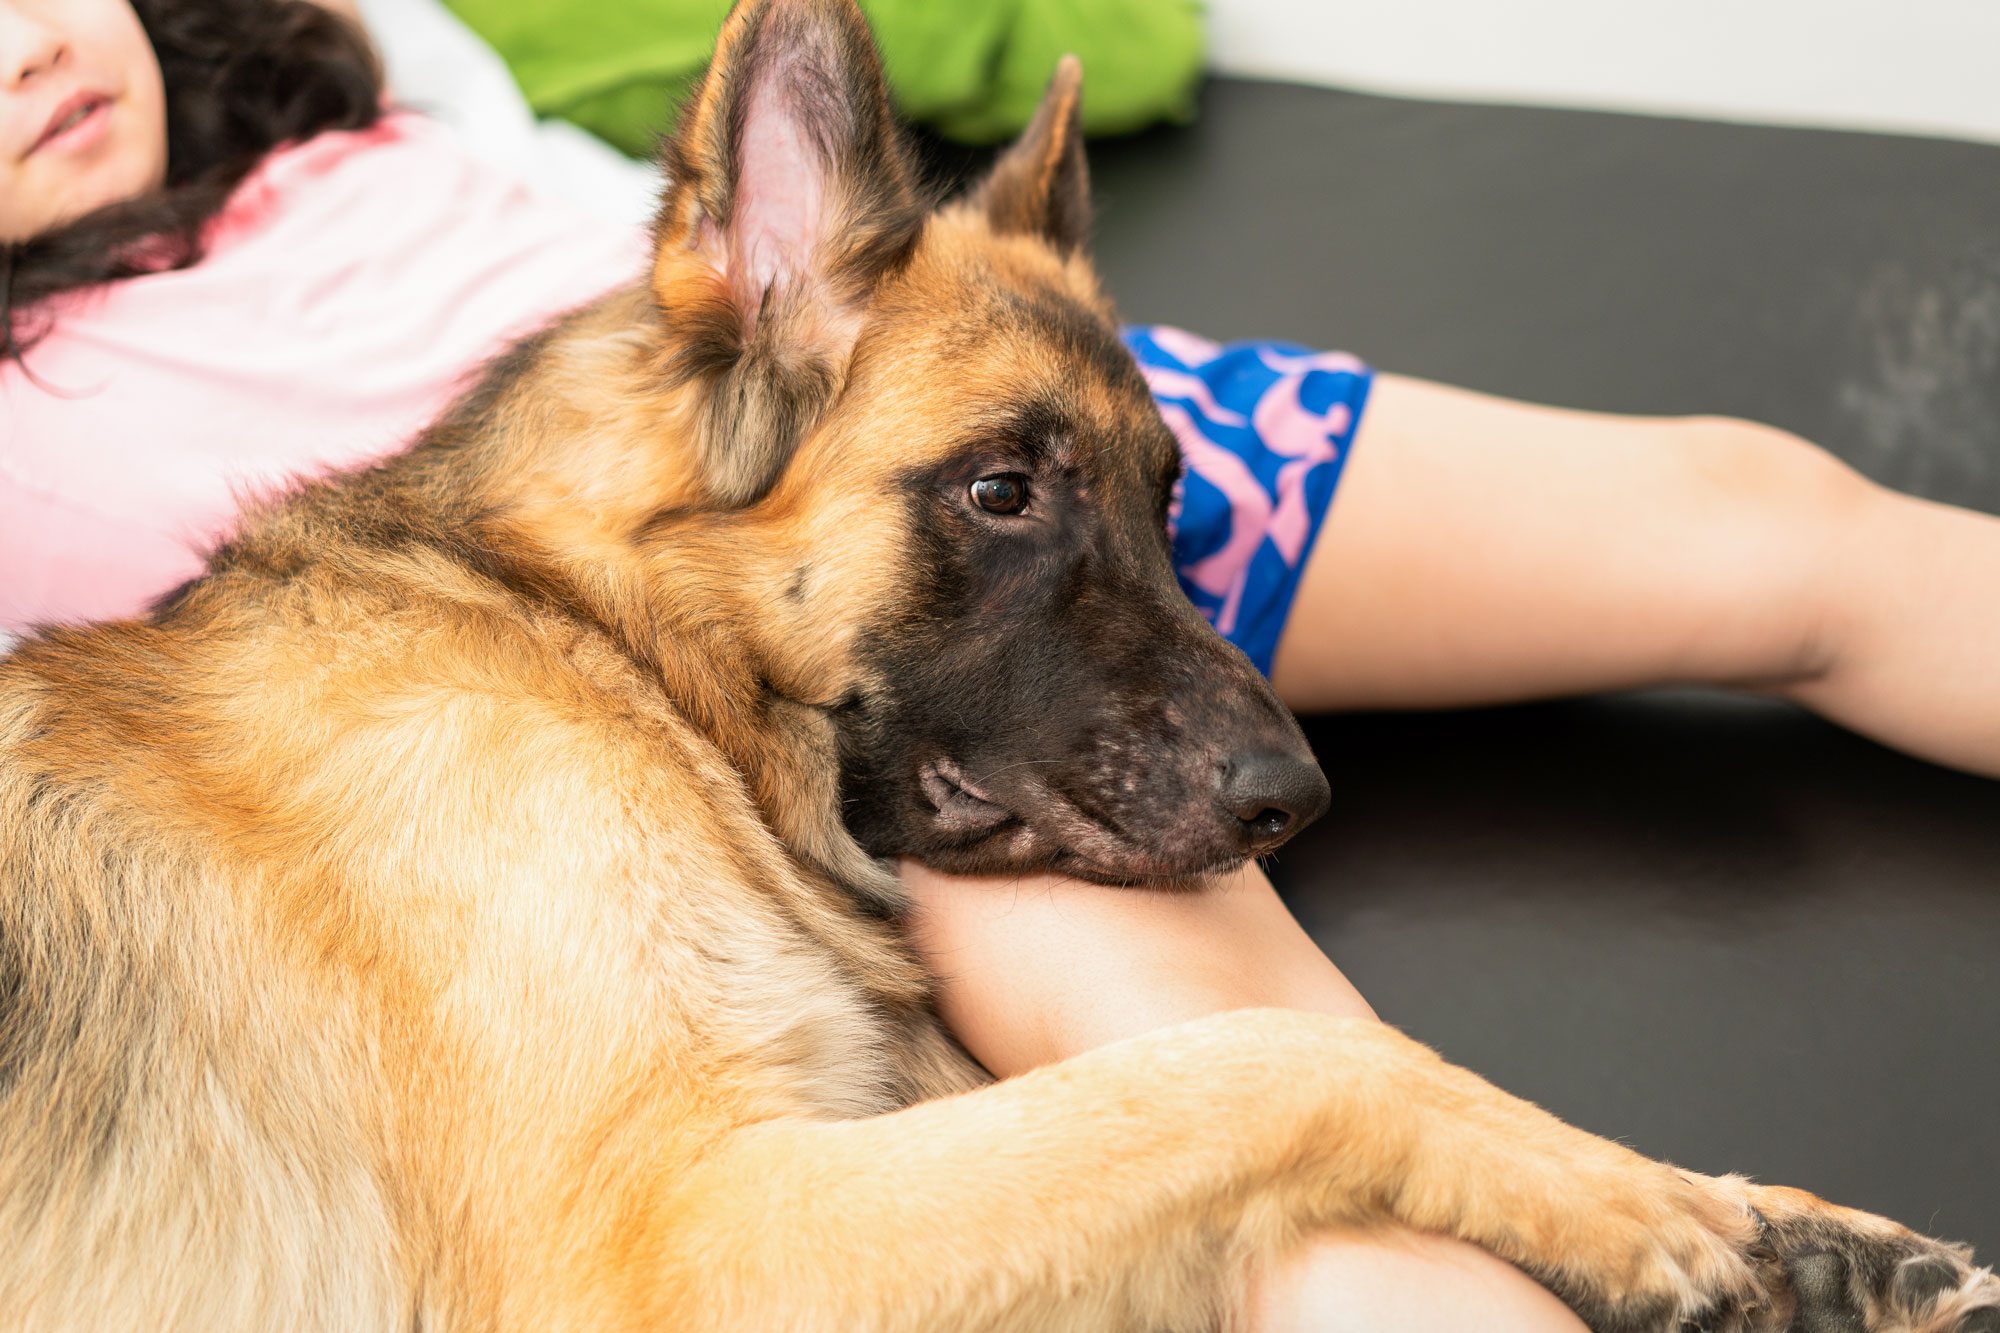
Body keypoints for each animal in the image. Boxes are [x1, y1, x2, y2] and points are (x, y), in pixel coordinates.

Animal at [3, 2, 2000, 1328]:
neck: (603, 649)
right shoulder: (690, 1232)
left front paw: (1758, 1215)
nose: (1295, 800)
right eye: (1002, 490)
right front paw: (1641, 1205)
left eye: (1177, 498)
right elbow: (1281, 1059)